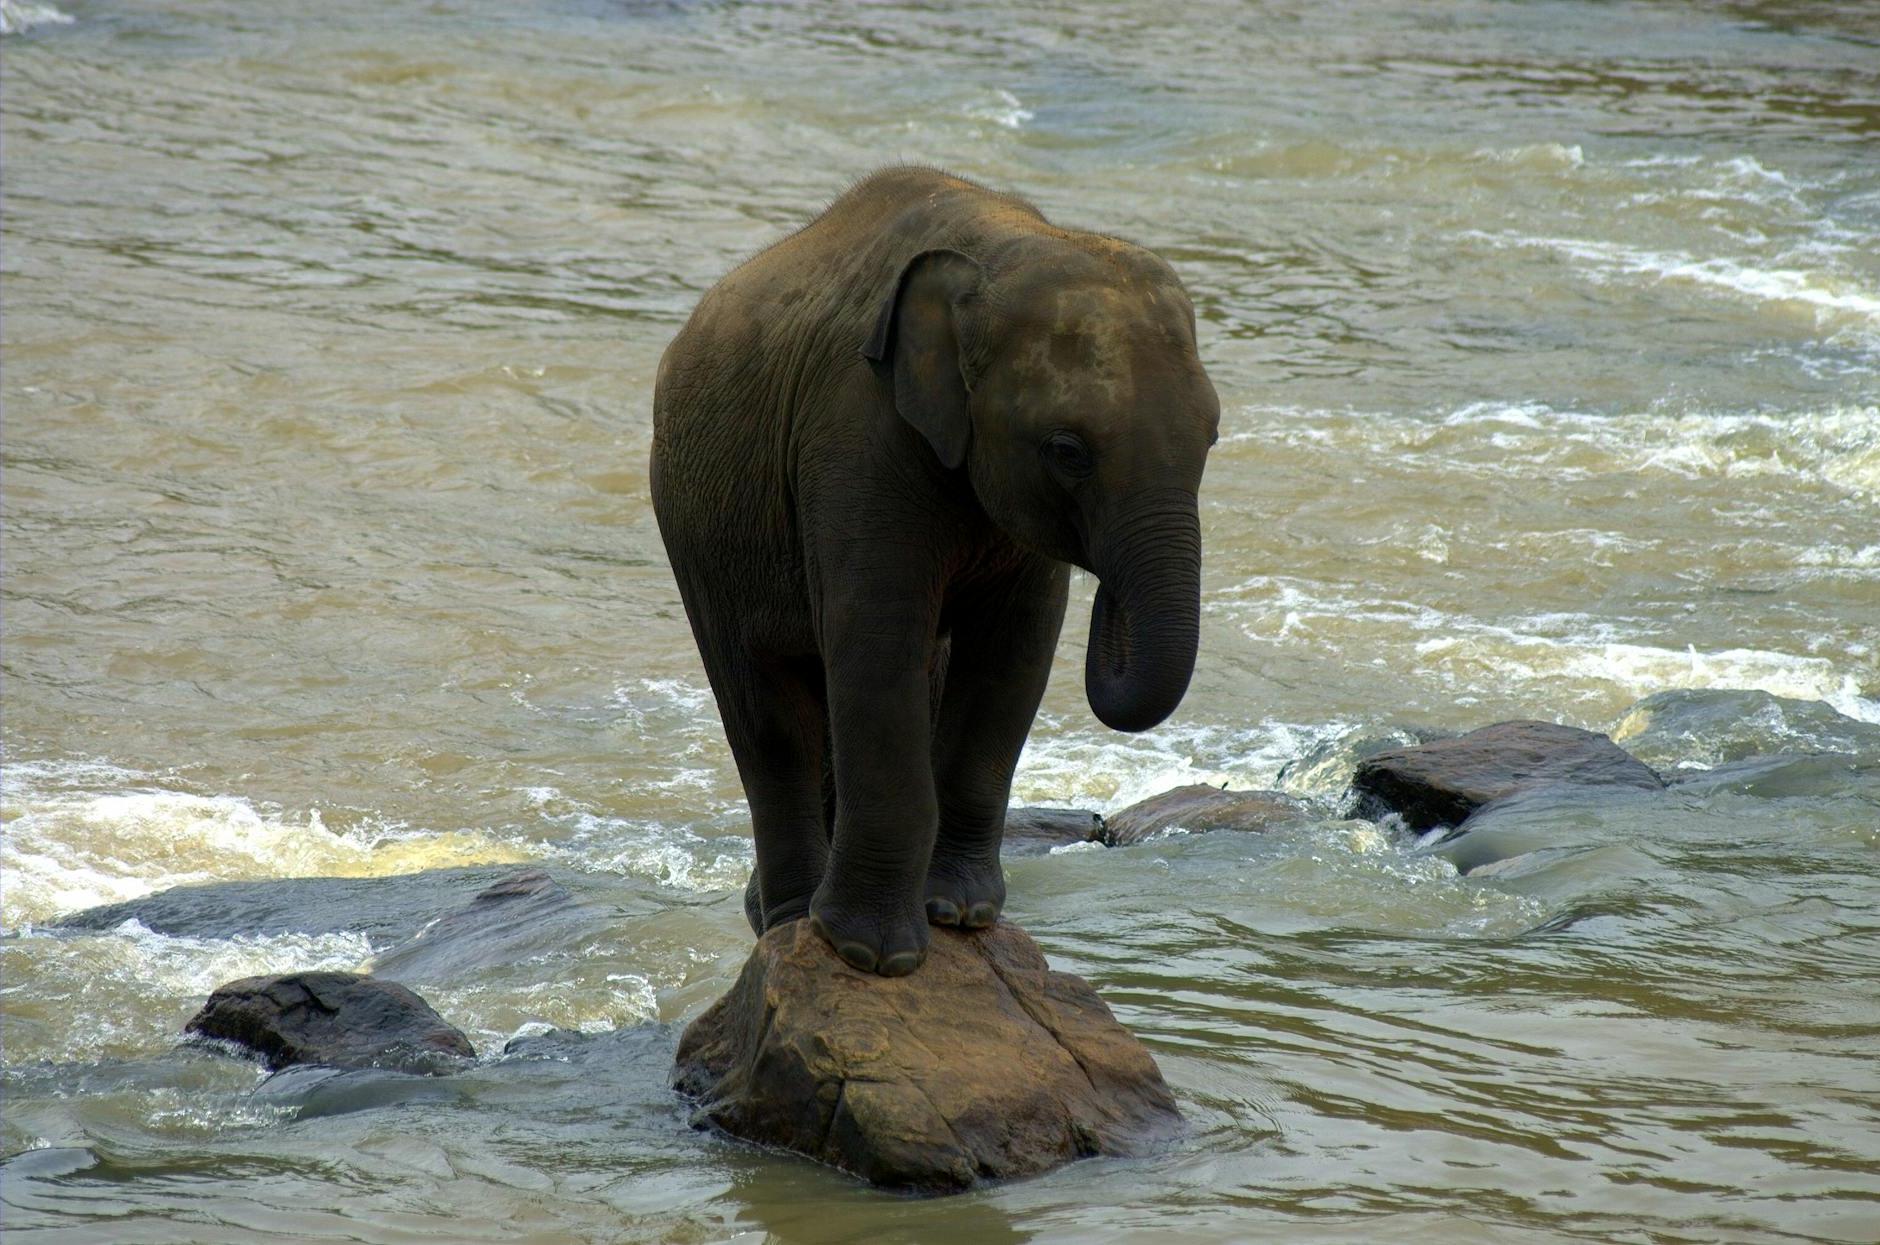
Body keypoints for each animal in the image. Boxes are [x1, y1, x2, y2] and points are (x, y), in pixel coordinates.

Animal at [654, 168, 1218, 977]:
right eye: (1067, 451)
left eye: (1212, 435)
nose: (1110, 598)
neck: (1002, 245)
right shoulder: (856, 432)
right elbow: (876, 637)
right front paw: (872, 955)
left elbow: (1013, 654)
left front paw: (961, 914)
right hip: (699, 531)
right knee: (769, 715)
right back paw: (788, 924)